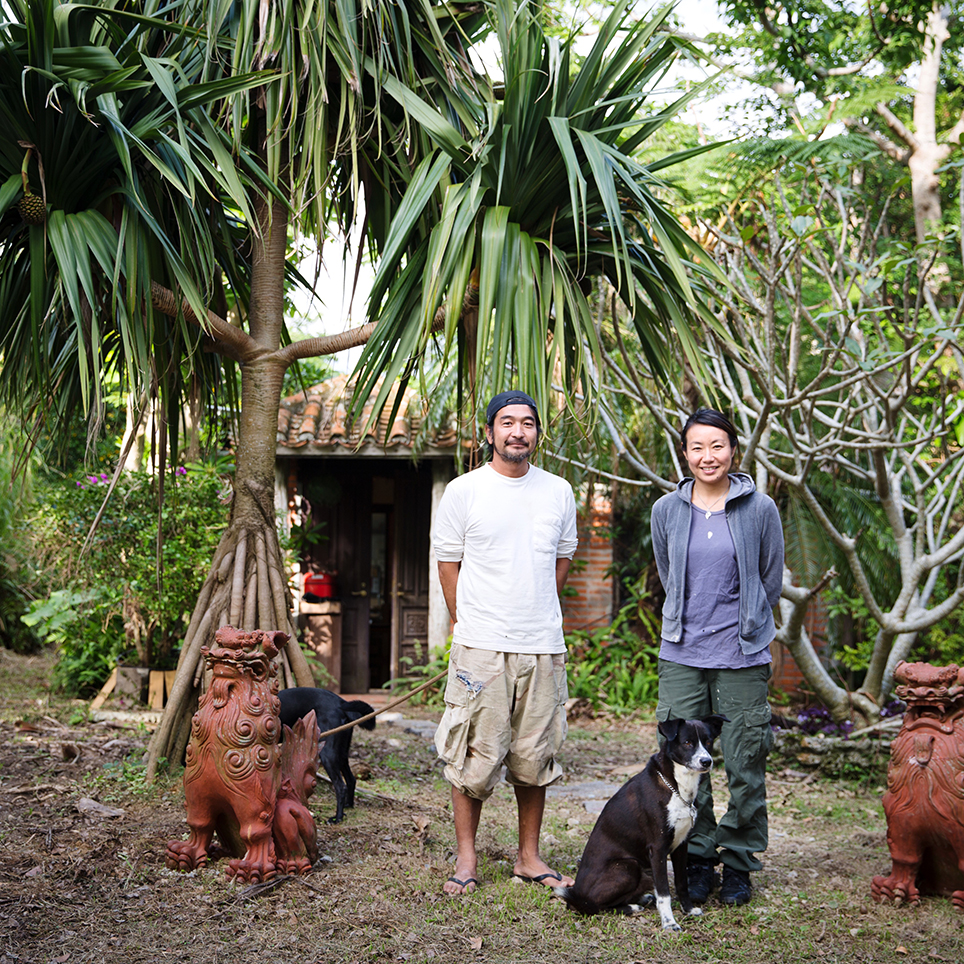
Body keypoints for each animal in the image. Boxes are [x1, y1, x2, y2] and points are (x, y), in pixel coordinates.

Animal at [278, 684, 376, 828]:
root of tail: (341, 702)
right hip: (341, 753)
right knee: (351, 779)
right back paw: (348, 806)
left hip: (328, 754)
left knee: (340, 786)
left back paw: (337, 818)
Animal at [552, 712, 728, 932]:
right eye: (687, 742)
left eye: (708, 741)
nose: (706, 761)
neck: (676, 786)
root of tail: (577, 897)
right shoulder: (658, 849)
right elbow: (664, 893)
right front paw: (669, 923)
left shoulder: (681, 845)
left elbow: (682, 883)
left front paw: (688, 910)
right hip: (629, 866)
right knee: (595, 906)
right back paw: (632, 907)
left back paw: (641, 900)